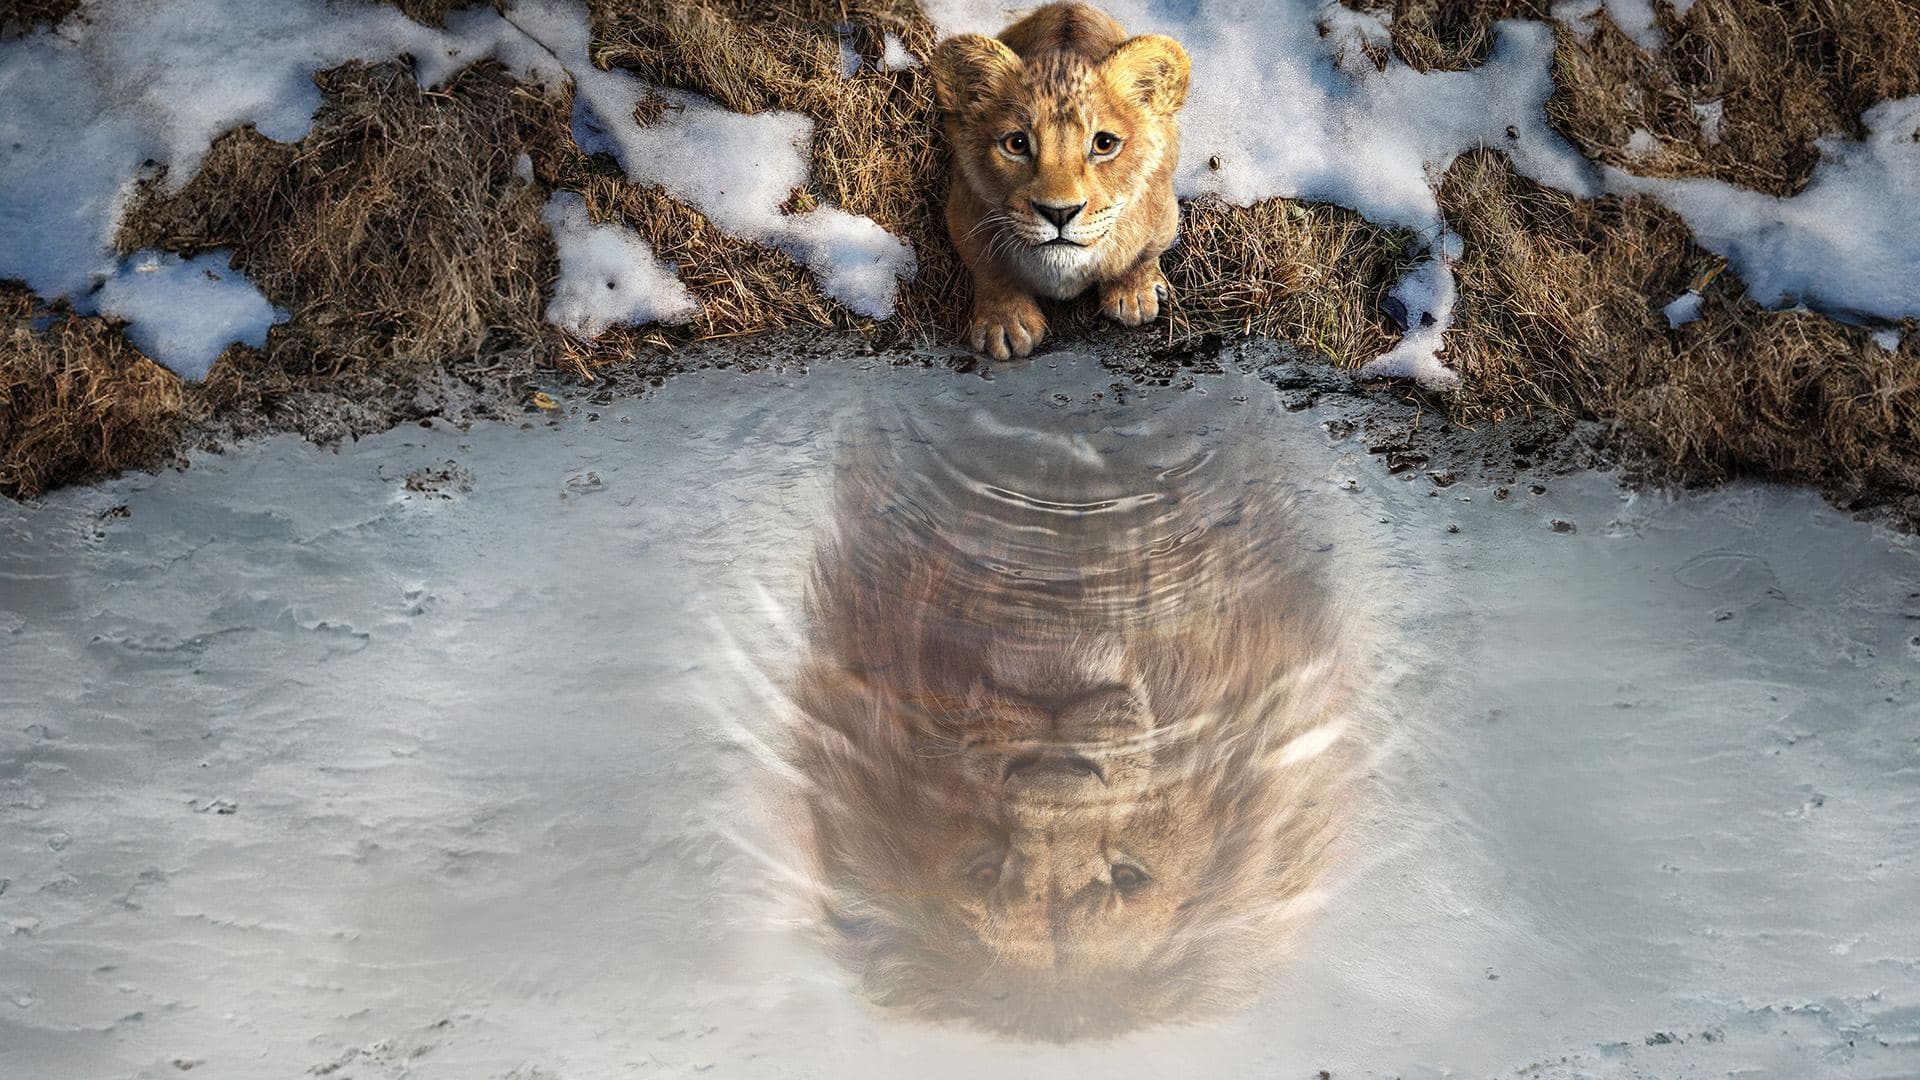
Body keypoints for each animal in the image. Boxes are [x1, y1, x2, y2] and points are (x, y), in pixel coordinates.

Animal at [932, 3, 1191, 360]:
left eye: (1104, 144)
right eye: (1016, 144)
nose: (1059, 213)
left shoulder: (1163, 212)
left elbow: (1143, 254)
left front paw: (1134, 294)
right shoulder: (963, 211)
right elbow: (989, 268)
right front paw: (1006, 324)